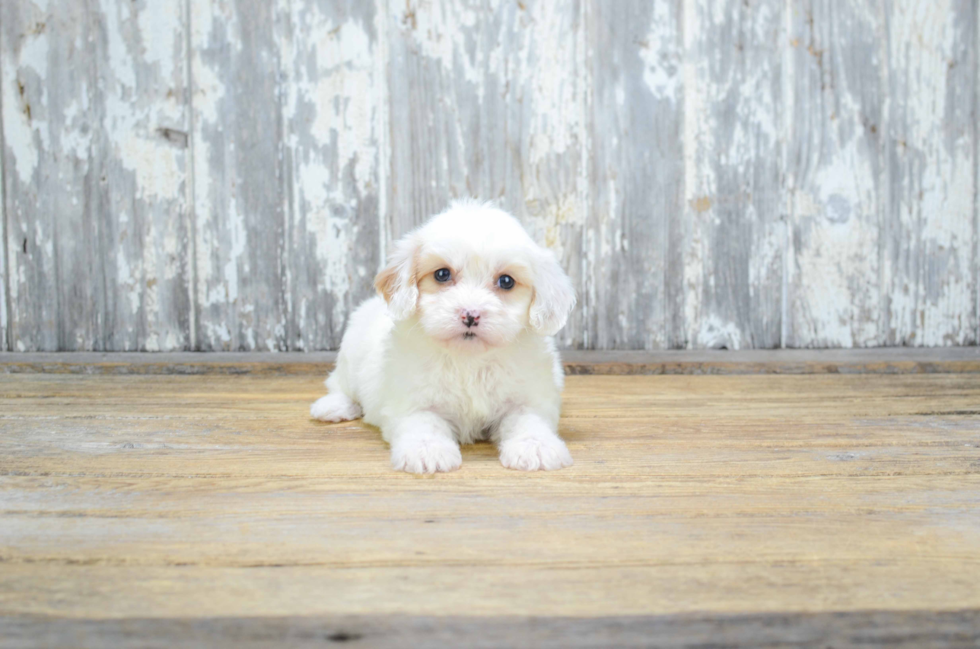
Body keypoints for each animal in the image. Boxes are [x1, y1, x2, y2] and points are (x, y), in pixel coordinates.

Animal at [310, 200, 580, 474]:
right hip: (350, 354)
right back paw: (335, 406)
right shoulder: (411, 399)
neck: (469, 361)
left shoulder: (529, 397)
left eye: (506, 281)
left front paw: (536, 446)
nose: (470, 315)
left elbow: (529, 419)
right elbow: (423, 421)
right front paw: (427, 450)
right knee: (339, 384)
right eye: (442, 274)